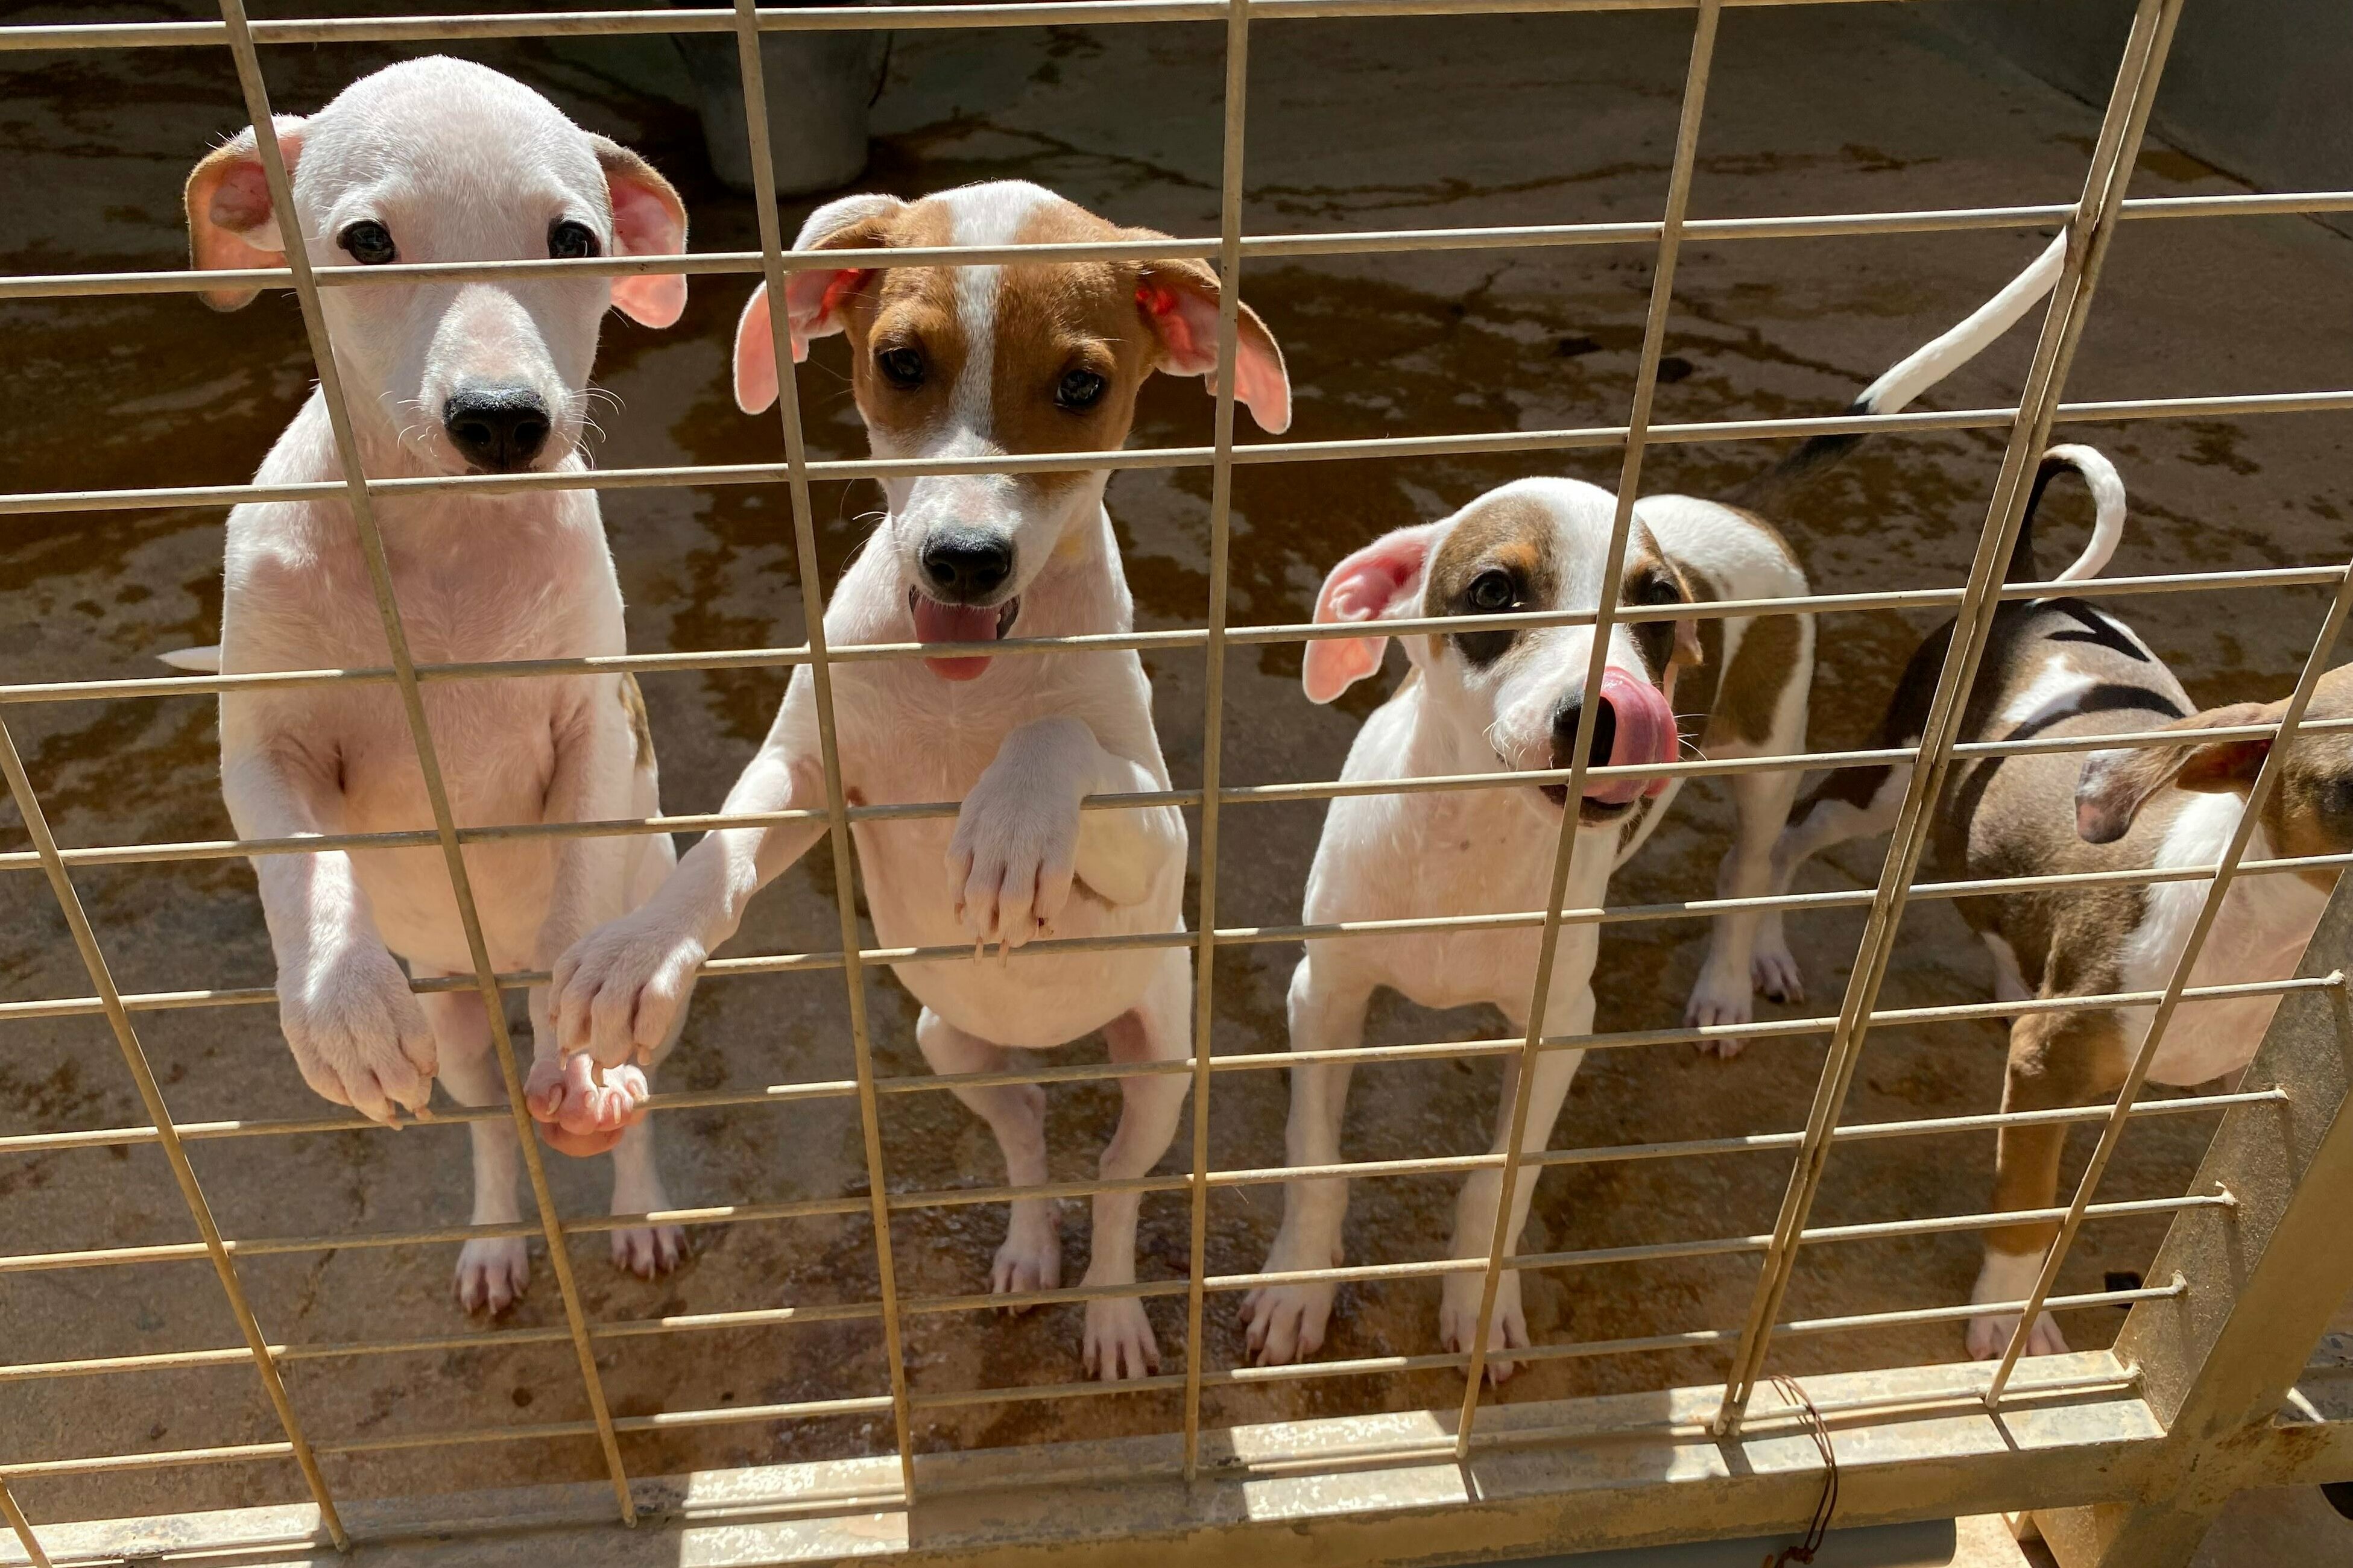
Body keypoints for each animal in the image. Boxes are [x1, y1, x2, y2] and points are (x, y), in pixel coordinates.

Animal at [177, 58, 692, 1316]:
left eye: (573, 240)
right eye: (367, 241)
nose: (502, 421)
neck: (441, 535)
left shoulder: (593, 722)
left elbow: (571, 900)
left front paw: (578, 1064)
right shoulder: (262, 740)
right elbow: (305, 868)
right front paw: (346, 1017)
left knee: (613, 1077)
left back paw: (625, 1172)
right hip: (457, 1017)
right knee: (490, 1121)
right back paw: (498, 1235)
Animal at [543, 184, 1298, 1382]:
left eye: (1081, 387)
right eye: (900, 362)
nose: (963, 561)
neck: (962, 691)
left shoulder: (1157, 832)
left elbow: (1055, 740)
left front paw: (1009, 829)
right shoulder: (804, 770)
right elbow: (722, 850)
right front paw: (638, 951)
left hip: (1163, 1055)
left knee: (1117, 1179)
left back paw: (1111, 1309)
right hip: (947, 1040)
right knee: (1026, 1124)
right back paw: (1030, 1245)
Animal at [1769, 442, 2353, 1363]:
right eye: (2348, 785)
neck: (2259, 937)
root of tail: (2031, 592)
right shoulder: (2046, 1068)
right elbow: (2026, 1204)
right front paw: (2008, 1319)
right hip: (1890, 776)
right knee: (1787, 835)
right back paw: (1745, 956)